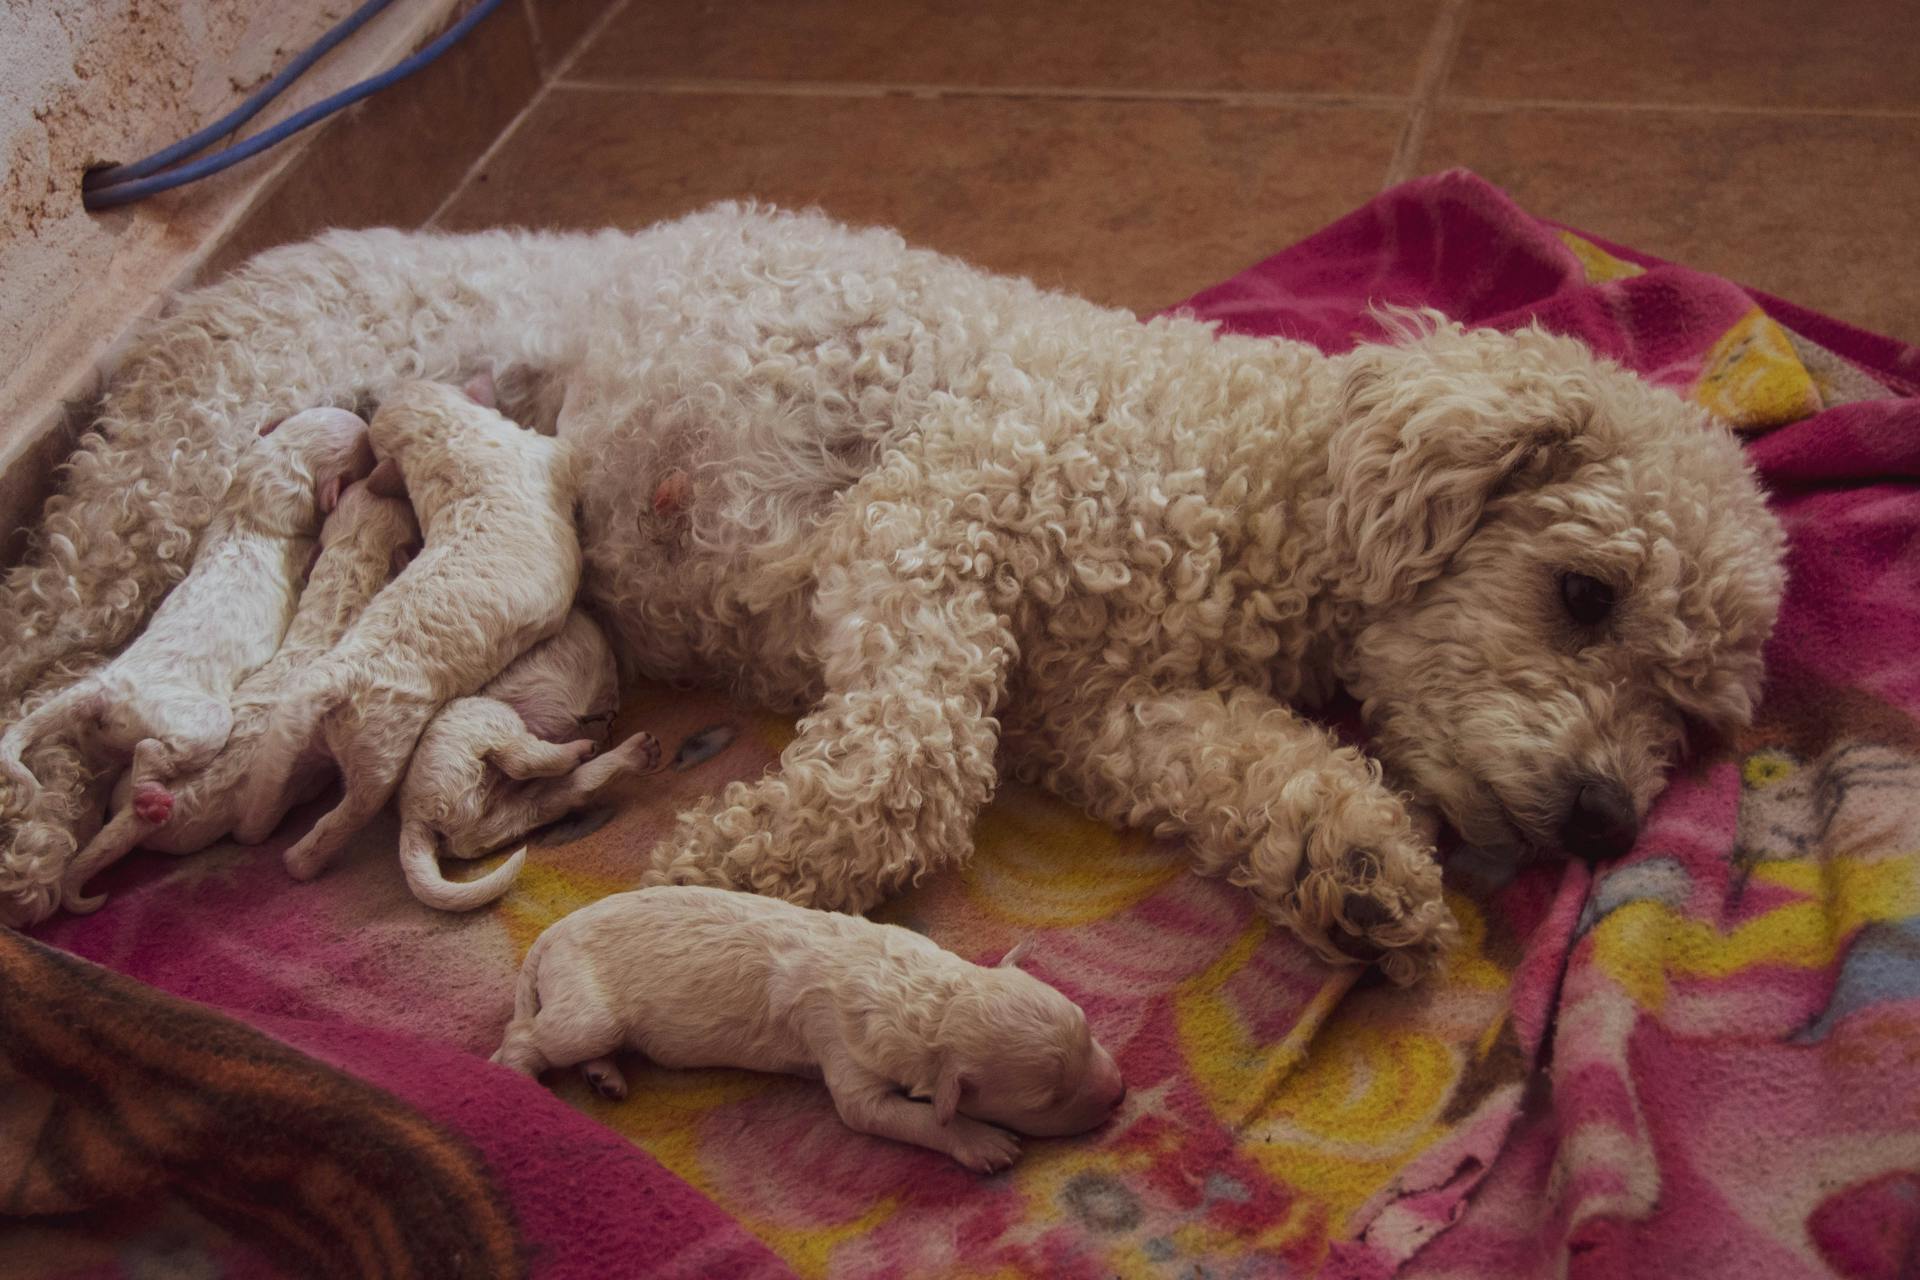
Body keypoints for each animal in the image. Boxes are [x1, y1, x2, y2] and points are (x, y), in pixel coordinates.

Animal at [0, 404, 370, 817]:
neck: (250, 507)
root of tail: (106, 686)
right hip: (194, 719)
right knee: (152, 750)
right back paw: (150, 795)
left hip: (101, 732)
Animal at [237, 378, 576, 882]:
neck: (440, 442)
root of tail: (334, 676)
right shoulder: (542, 452)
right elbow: (568, 451)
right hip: (379, 751)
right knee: (347, 814)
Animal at [393, 610, 664, 917]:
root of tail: (414, 817)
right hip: (480, 717)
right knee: (521, 760)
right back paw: (586, 750)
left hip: (508, 814)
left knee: (568, 787)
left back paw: (632, 753)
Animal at [491, 890, 1121, 1174]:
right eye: (1046, 1100)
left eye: (1089, 1029)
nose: (1119, 1095)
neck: (928, 999)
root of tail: (550, 934)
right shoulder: (843, 1051)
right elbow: (895, 1116)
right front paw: (982, 1141)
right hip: (588, 1009)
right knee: (524, 1039)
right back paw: (515, 1078)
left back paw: (604, 1076)